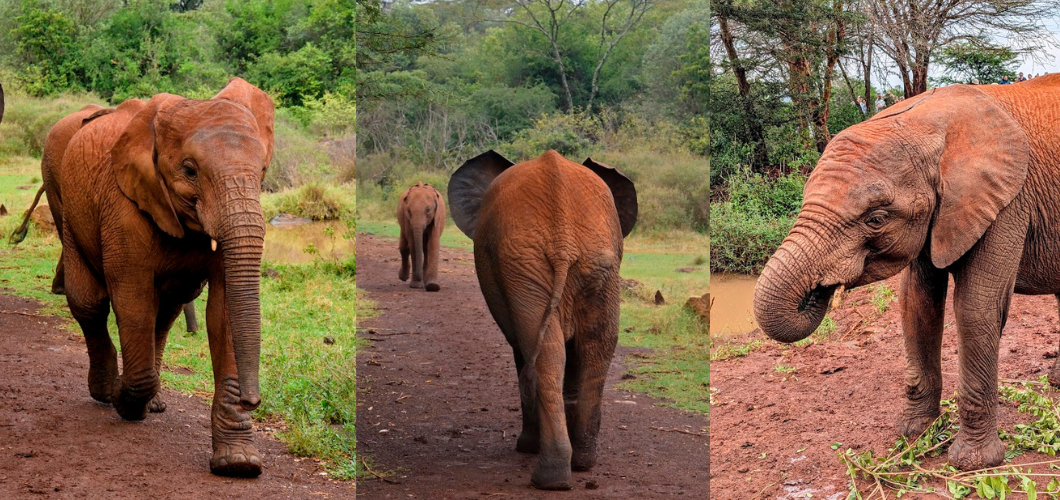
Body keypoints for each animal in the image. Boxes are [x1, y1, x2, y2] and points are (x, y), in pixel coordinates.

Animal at [37, 78, 274, 477]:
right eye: (190, 170)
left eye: (263, 172)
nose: (252, 400)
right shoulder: (122, 203)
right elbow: (133, 301)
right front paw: (124, 400)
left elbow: (225, 312)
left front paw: (239, 465)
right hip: (64, 202)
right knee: (89, 303)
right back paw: (106, 393)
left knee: (167, 311)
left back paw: (154, 402)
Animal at [449, 149, 637, 490]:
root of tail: (562, 234)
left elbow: (522, 351)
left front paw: (526, 446)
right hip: (589, 264)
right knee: (596, 348)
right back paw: (582, 463)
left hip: (529, 265)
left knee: (546, 354)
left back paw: (549, 476)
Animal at [752, 76, 1060, 470]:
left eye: (876, 218)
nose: (820, 289)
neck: (923, 121)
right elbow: (916, 303)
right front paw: (915, 432)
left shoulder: (1009, 201)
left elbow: (976, 308)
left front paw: (973, 463)